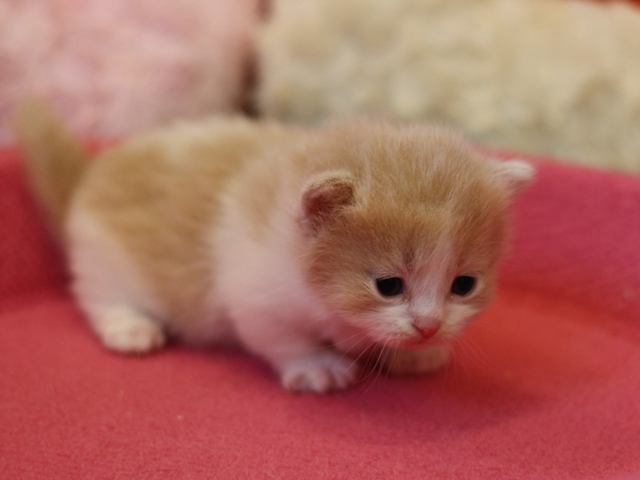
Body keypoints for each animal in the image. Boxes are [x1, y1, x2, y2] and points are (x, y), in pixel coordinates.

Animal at [16, 101, 536, 394]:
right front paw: (318, 367)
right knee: (101, 298)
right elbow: (281, 337)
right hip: (104, 259)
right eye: (388, 285)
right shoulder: (256, 293)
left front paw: (413, 354)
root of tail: (90, 178)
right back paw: (131, 327)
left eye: (463, 284)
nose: (429, 327)